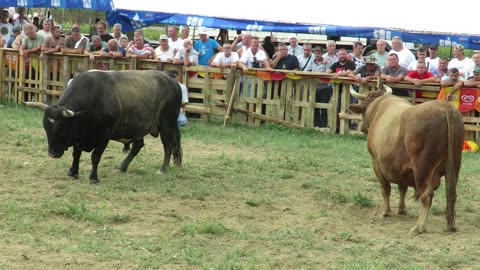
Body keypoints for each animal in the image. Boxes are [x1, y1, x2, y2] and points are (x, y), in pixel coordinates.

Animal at [26, 69, 184, 184]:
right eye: (46, 129)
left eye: (61, 129)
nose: (52, 154)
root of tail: (169, 77)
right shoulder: (79, 135)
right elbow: (76, 154)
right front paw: (72, 172)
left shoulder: (104, 136)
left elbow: (95, 156)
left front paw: (93, 178)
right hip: (137, 128)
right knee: (137, 146)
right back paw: (122, 167)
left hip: (167, 122)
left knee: (168, 145)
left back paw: (163, 169)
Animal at [348, 85, 464, 235]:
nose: (361, 128)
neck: (378, 107)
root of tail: (445, 107)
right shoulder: (401, 168)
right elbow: (402, 188)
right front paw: (402, 209)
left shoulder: (376, 162)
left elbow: (385, 188)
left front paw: (386, 212)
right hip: (454, 166)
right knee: (452, 194)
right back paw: (451, 226)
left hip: (422, 169)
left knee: (426, 196)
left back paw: (418, 227)